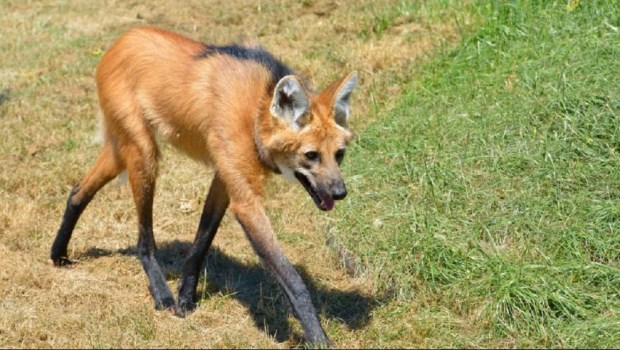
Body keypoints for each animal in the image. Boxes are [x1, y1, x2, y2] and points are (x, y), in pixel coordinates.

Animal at [50, 26, 356, 344]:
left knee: (78, 191)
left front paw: (186, 299)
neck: (255, 112)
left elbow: (202, 241)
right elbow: (292, 279)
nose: (340, 193)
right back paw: (161, 294)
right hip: (143, 154)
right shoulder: (245, 201)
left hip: (123, 151)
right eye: (311, 155)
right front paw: (319, 339)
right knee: (143, 238)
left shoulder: (224, 177)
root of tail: (123, 39)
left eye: (339, 155)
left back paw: (58, 253)